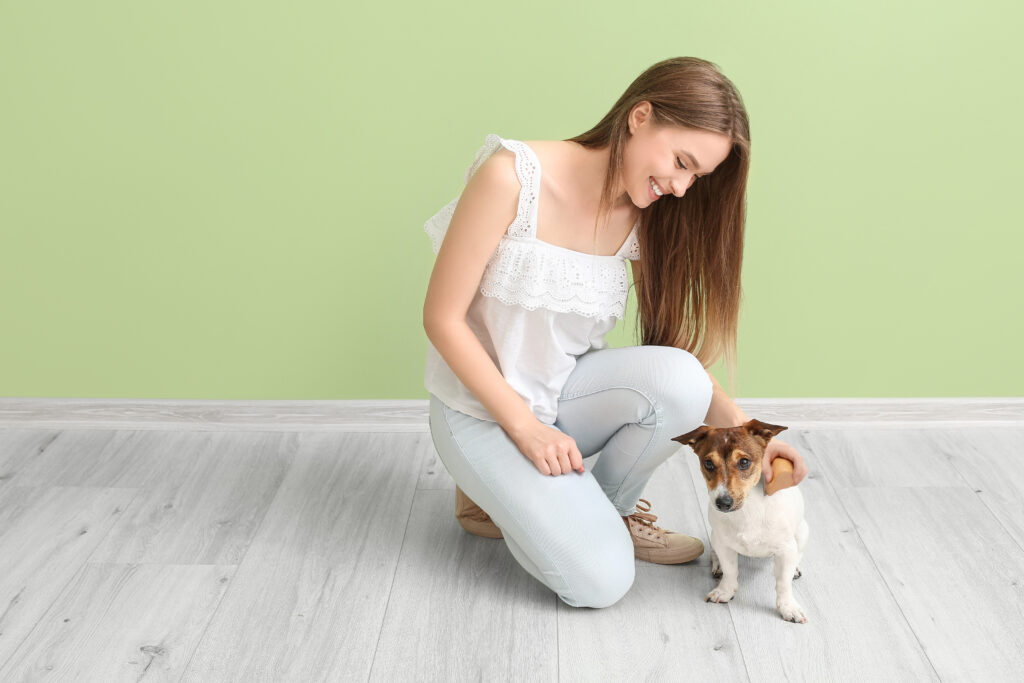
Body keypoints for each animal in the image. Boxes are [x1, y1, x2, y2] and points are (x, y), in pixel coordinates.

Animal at [671, 419, 806, 622]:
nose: (723, 503)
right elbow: (730, 570)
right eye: (708, 463)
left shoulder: (786, 548)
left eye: (744, 462)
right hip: (715, 536)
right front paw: (725, 591)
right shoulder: (724, 544)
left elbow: (783, 582)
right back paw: (717, 564)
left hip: (803, 532)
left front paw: (788, 607)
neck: (748, 510)